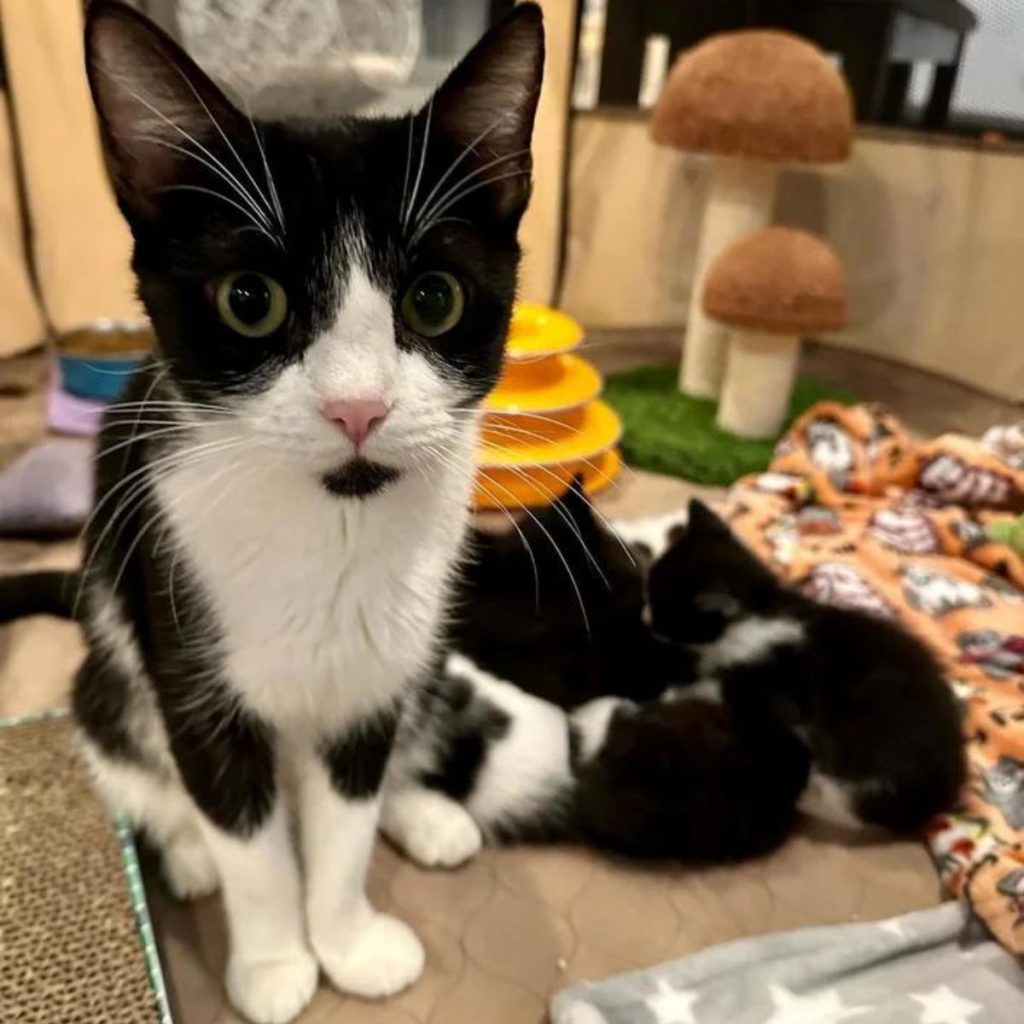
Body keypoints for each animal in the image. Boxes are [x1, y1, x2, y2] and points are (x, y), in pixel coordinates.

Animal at [48, 4, 544, 1019]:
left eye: (434, 298)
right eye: (251, 300)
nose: (358, 408)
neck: (329, 532)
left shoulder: (370, 678)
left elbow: (345, 820)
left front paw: (348, 941)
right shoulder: (191, 665)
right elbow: (252, 842)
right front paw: (278, 964)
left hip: (425, 644)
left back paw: (425, 813)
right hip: (110, 670)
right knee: (134, 754)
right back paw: (187, 853)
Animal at [647, 501, 966, 831]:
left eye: (665, 612)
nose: (648, 620)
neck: (758, 610)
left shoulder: (773, 689)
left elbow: (720, 688)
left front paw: (675, 692)